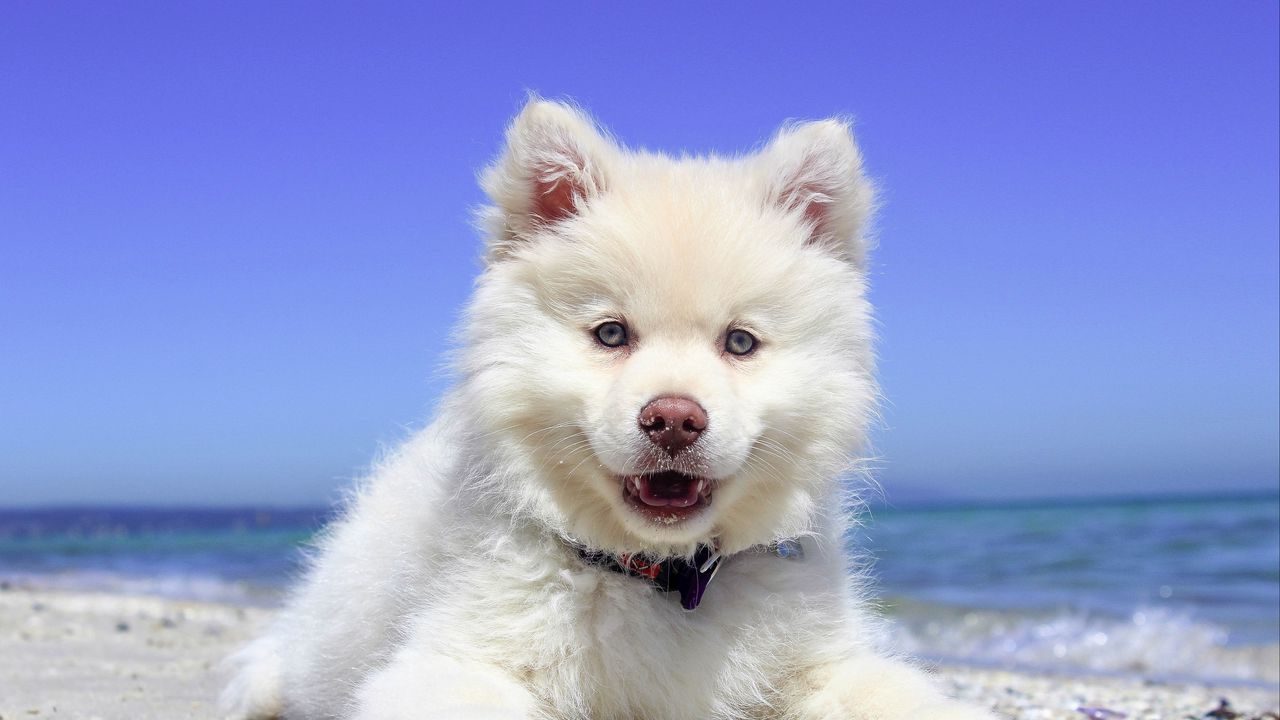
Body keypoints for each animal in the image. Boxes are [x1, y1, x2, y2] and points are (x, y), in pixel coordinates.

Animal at [222, 96, 998, 717]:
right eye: (611, 335)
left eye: (739, 342)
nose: (674, 419)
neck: (662, 578)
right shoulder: (453, 661)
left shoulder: (827, 664)